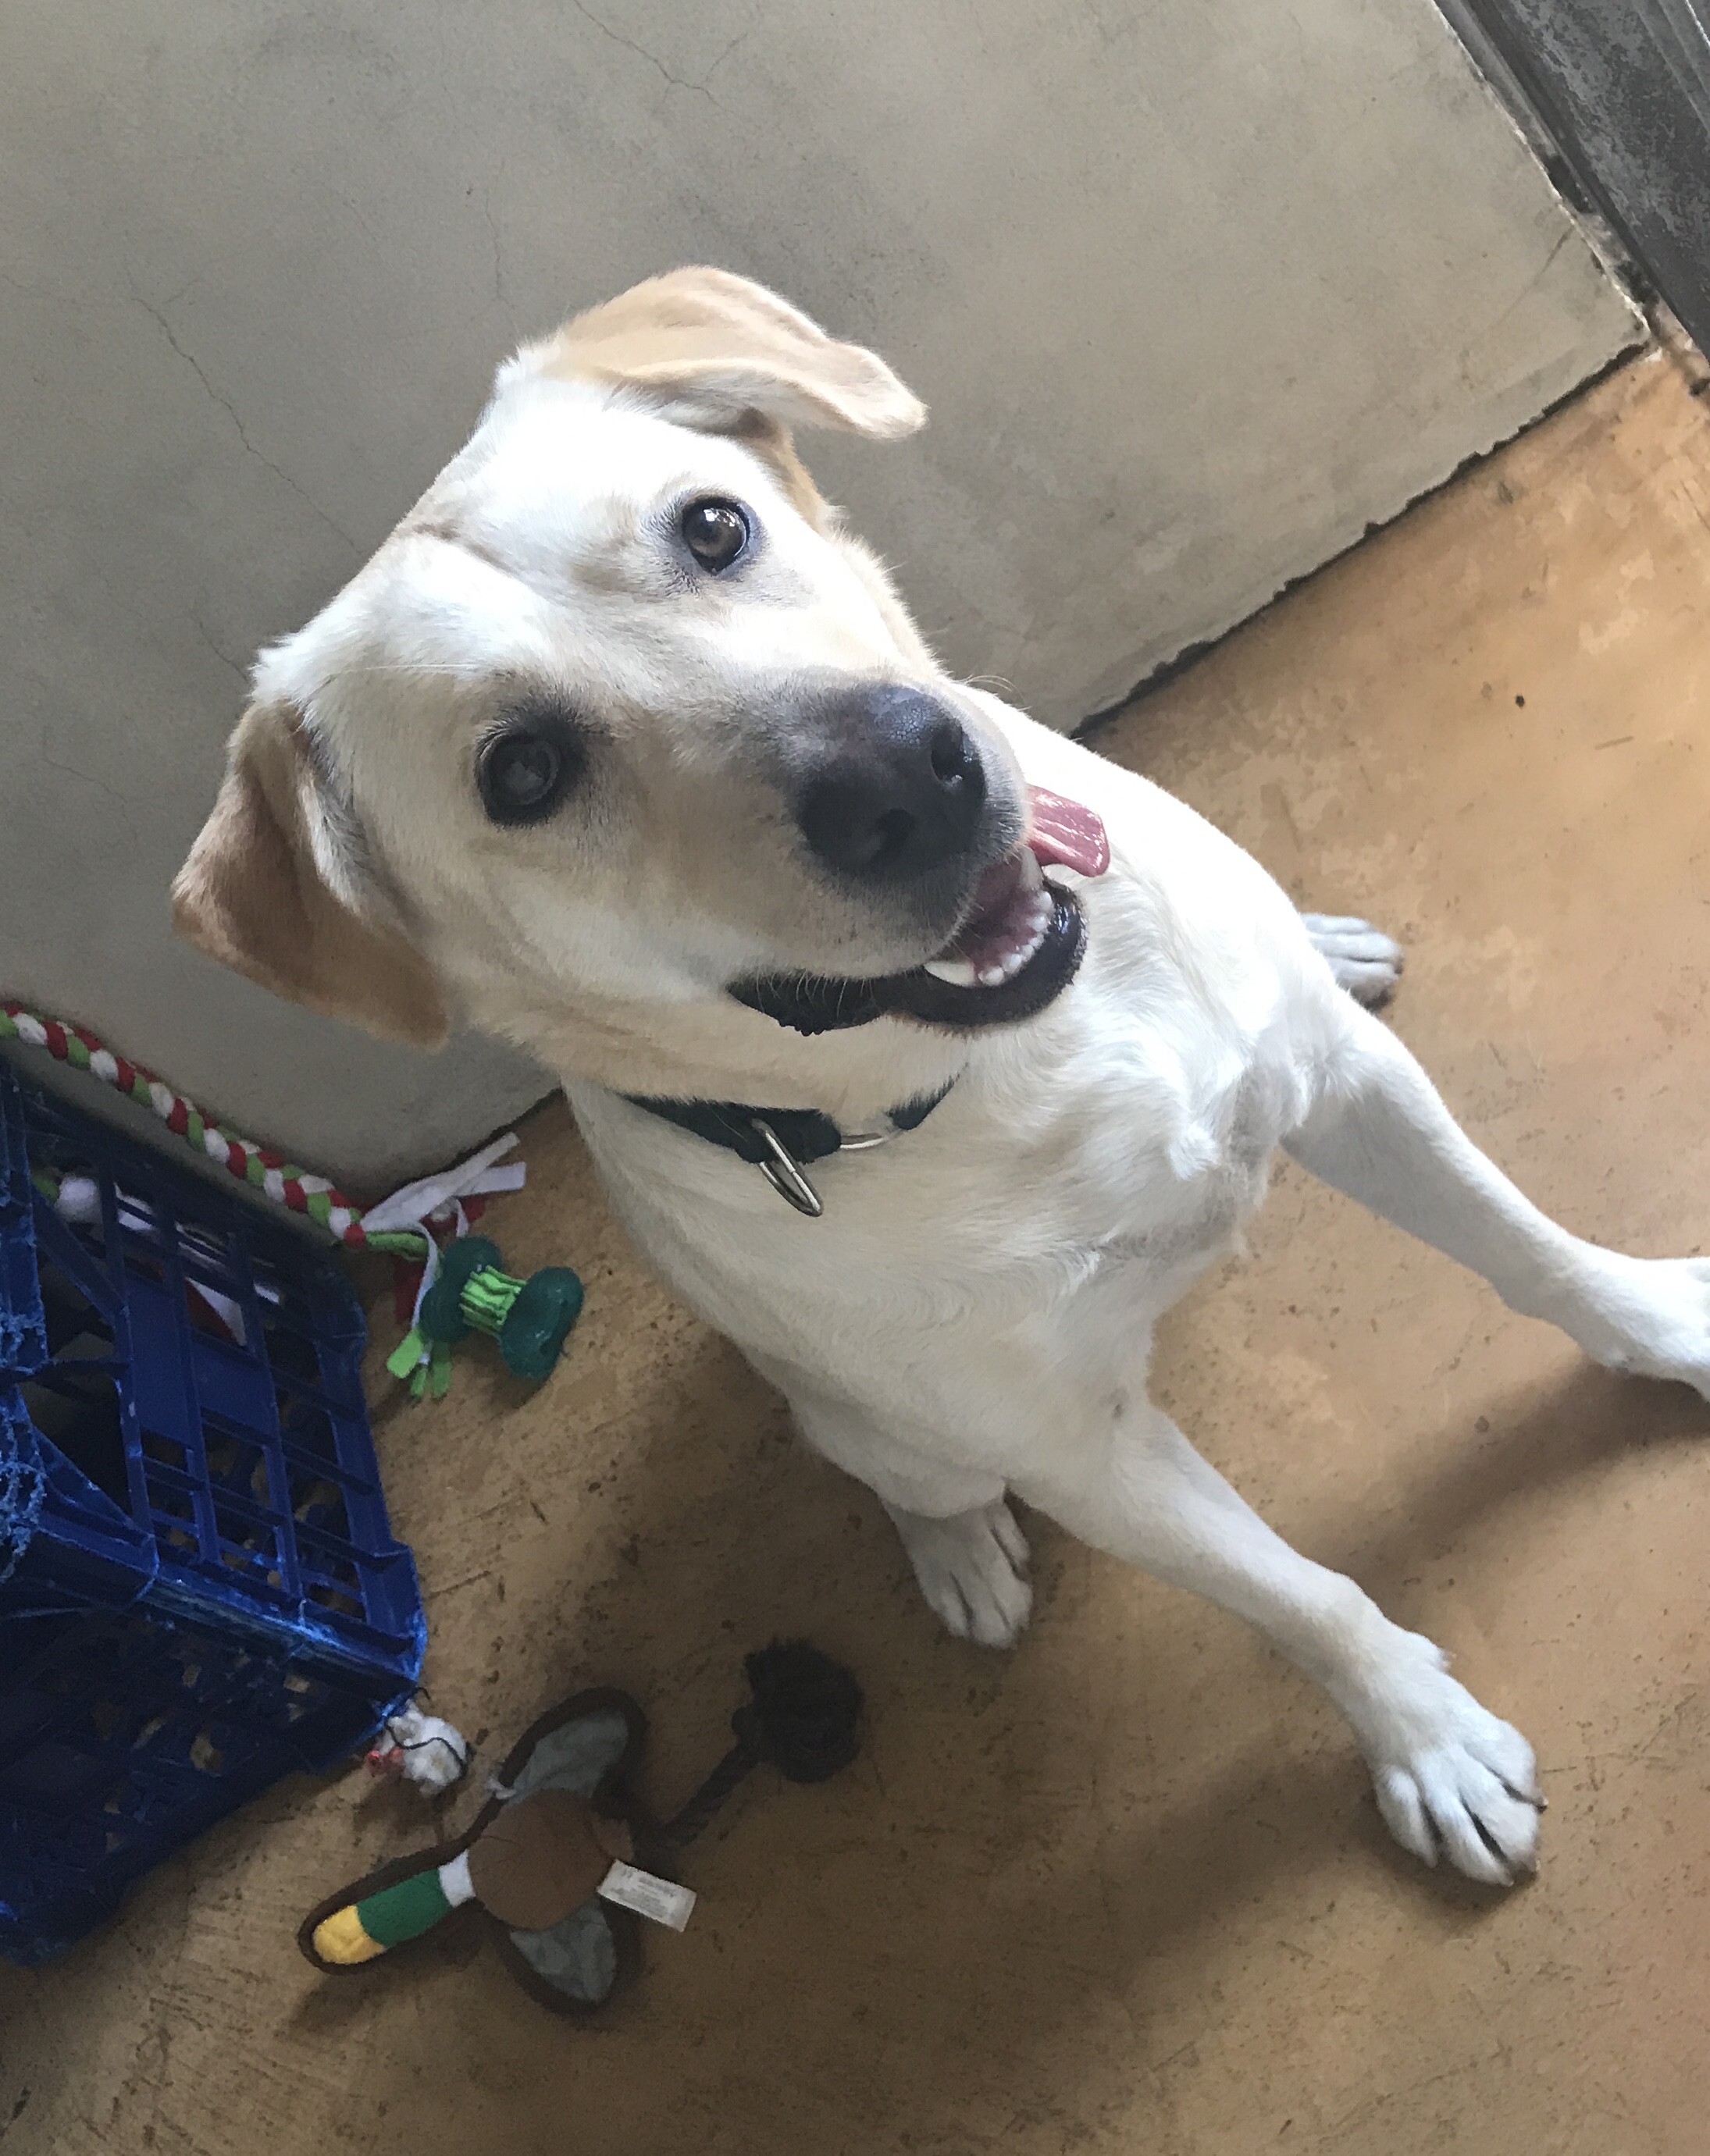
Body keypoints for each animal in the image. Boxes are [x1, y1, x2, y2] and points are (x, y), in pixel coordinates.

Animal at [173, 269, 1710, 1887]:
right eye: (522, 772)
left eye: (710, 527)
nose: (908, 778)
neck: (1008, 1062)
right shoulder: (1077, 1446)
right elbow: (1302, 1598)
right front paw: (1422, 1733)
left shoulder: (1353, 1085)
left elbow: (1530, 1252)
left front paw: (1662, 1324)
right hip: (871, 1424)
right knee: (913, 1479)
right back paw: (959, 1552)